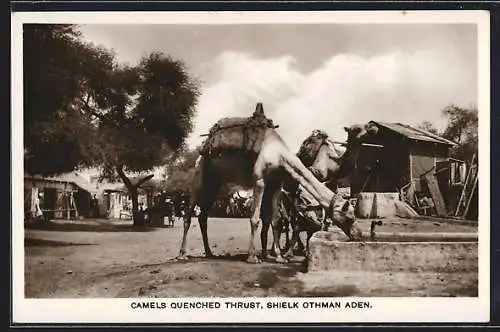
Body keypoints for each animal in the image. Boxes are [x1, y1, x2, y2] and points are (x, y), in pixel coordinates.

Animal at [178, 104, 362, 264]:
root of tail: (202, 152)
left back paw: (209, 252)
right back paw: (182, 254)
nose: (359, 234)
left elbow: (276, 220)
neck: (278, 155)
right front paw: (253, 257)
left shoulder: (276, 184)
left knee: (203, 216)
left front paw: (280, 257)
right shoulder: (259, 181)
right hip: (200, 177)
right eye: (349, 217)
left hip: (215, 184)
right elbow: (255, 219)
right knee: (188, 213)